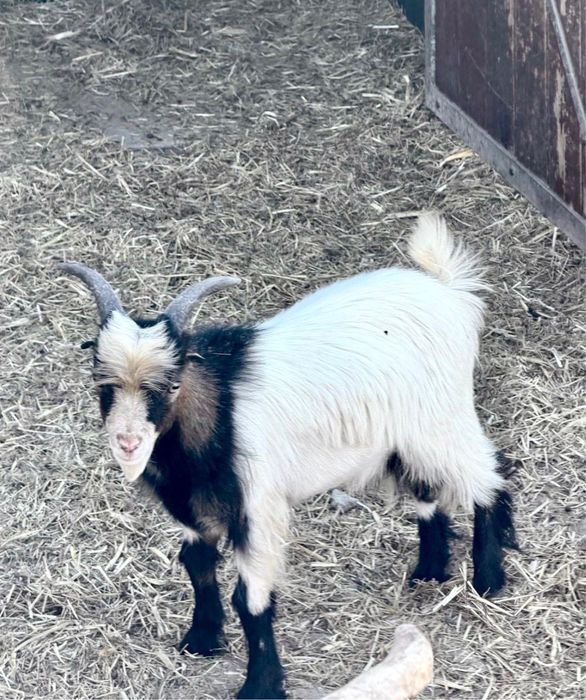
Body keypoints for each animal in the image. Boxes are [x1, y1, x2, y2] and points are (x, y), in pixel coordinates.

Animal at [59, 213, 517, 699]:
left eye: (172, 384)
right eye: (102, 384)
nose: (127, 443)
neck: (219, 409)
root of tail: (448, 290)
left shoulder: (258, 508)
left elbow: (251, 599)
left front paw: (260, 684)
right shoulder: (193, 509)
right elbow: (197, 565)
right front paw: (201, 639)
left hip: (439, 421)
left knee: (488, 475)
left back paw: (488, 579)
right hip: (403, 438)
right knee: (427, 487)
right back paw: (430, 571)